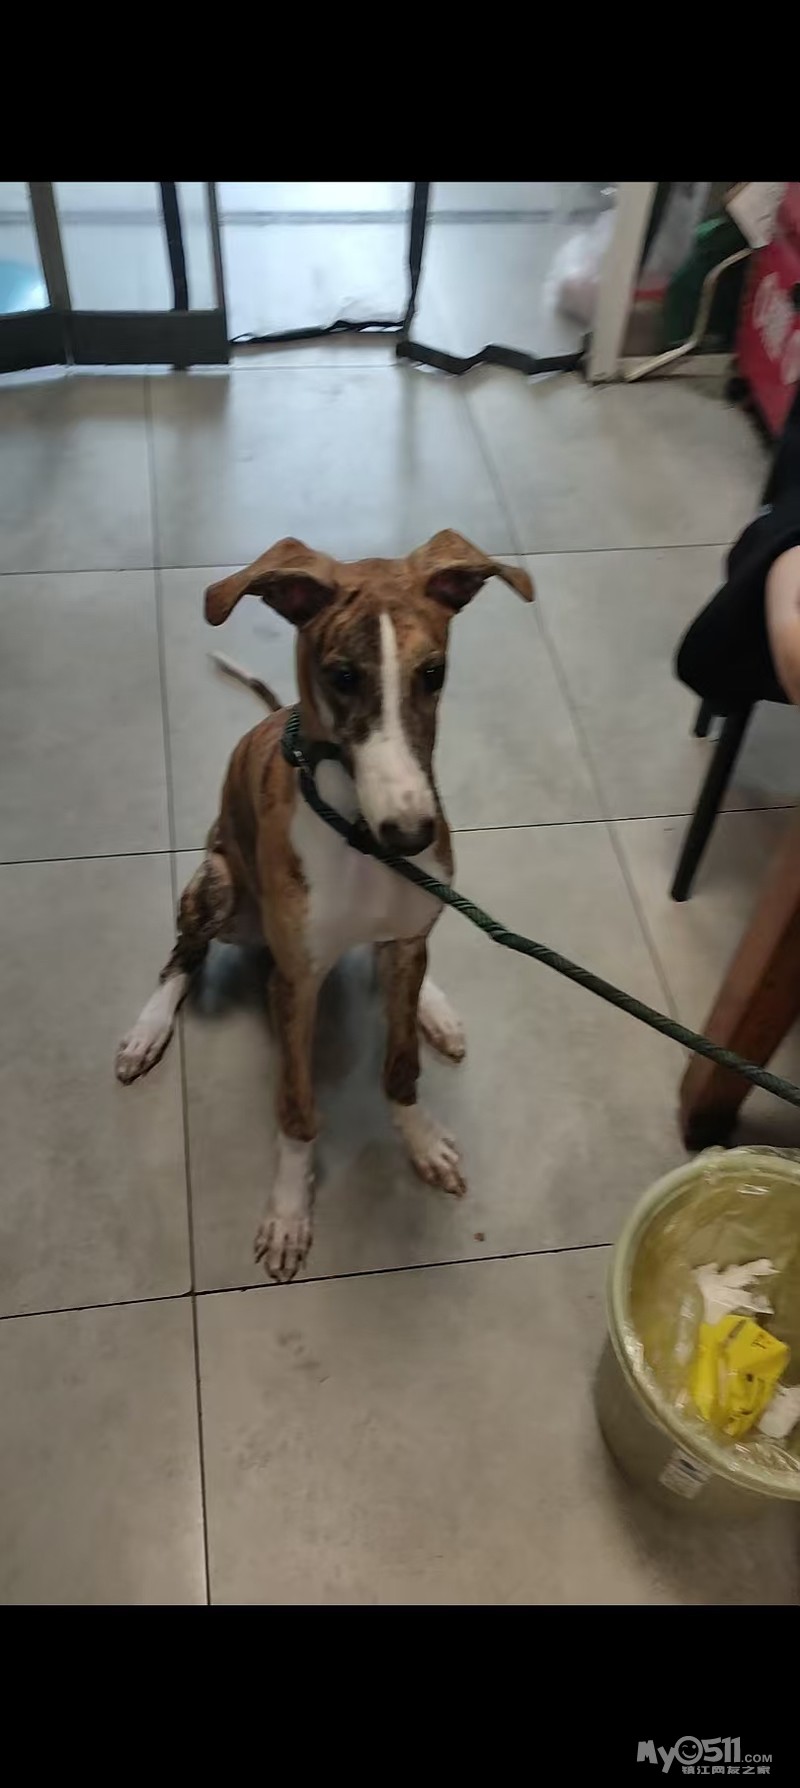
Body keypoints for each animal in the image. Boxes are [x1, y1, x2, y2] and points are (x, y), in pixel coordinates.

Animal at [115, 531, 533, 1281]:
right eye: (342, 676)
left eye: (434, 673)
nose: (412, 834)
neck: (359, 836)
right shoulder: (295, 984)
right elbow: (297, 1109)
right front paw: (288, 1212)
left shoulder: (405, 931)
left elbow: (401, 1066)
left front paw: (422, 1140)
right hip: (221, 884)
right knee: (184, 954)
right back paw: (148, 1028)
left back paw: (434, 1007)